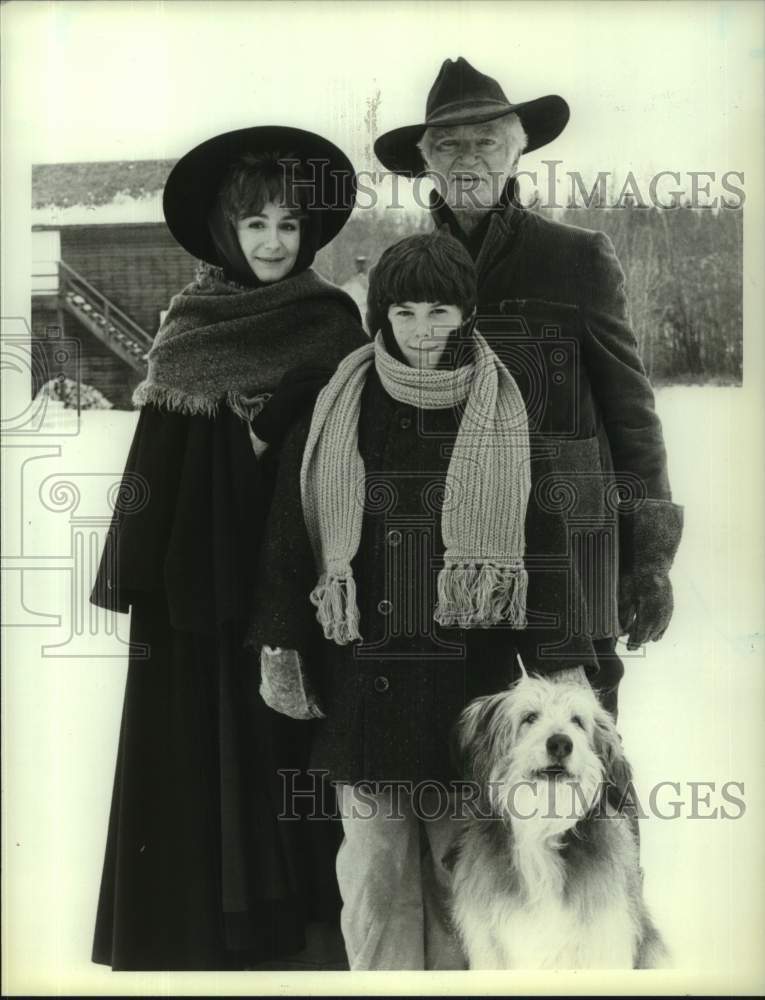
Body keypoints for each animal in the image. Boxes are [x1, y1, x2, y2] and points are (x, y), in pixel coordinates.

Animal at [448, 672, 668, 968]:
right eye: (530, 717)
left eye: (577, 721)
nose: (561, 743)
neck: (543, 826)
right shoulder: (490, 944)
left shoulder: (605, 935)